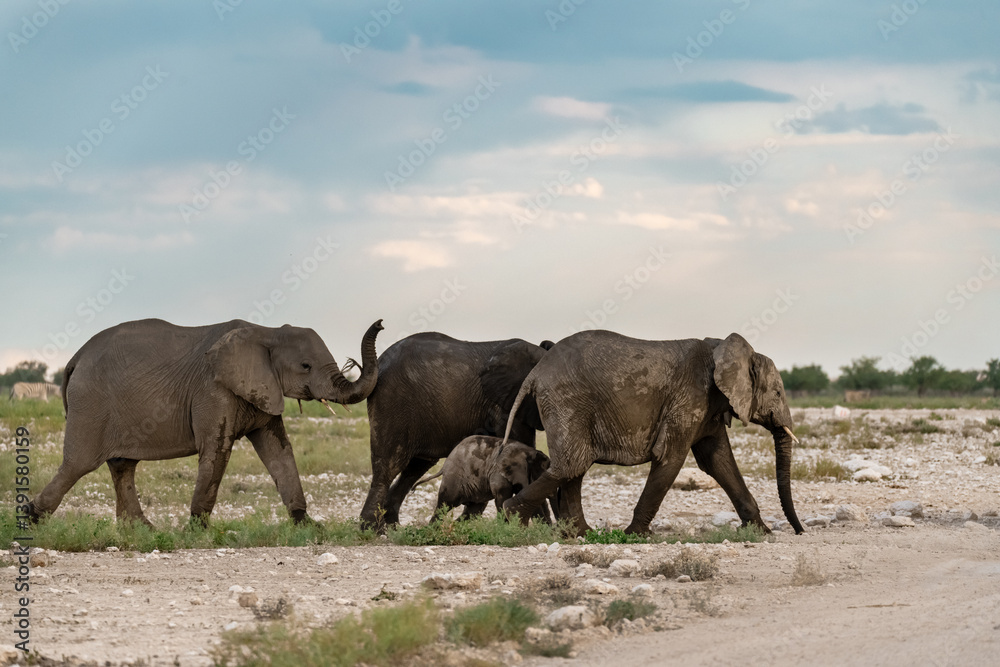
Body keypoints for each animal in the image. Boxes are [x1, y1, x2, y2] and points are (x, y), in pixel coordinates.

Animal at [27, 318, 383, 526]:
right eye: (306, 366)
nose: (380, 322)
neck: (265, 332)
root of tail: (75, 358)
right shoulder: (213, 389)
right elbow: (217, 449)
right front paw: (197, 529)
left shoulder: (262, 387)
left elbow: (279, 450)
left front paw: (306, 524)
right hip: (91, 403)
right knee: (79, 463)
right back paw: (29, 519)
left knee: (122, 465)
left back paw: (141, 530)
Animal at [414, 435, 553, 524]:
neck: (528, 451)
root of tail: (444, 466)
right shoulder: (498, 473)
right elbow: (502, 498)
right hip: (453, 479)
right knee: (445, 504)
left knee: (473, 511)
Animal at [502, 331, 804, 537]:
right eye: (778, 393)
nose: (800, 532)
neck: (722, 347)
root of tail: (536, 372)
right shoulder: (690, 398)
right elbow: (671, 458)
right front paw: (636, 535)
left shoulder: (708, 407)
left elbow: (719, 462)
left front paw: (762, 532)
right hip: (566, 401)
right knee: (571, 464)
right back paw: (513, 519)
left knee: (574, 466)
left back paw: (580, 533)